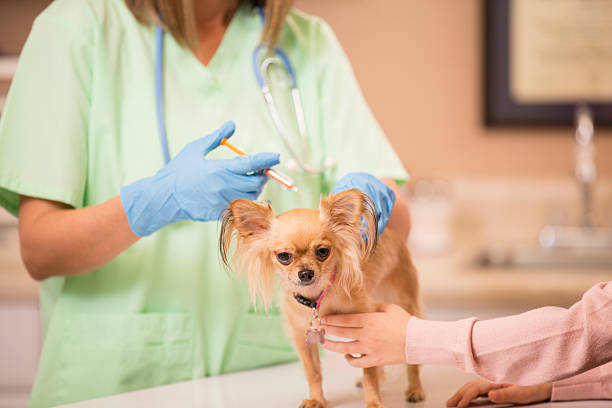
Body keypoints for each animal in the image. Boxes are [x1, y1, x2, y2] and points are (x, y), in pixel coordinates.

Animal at [220, 190, 426, 406]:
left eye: (322, 252)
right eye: (284, 256)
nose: (305, 273)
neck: (317, 299)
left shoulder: (367, 331)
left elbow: (370, 373)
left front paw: (374, 403)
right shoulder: (302, 337)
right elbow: (314, 372)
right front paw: (317, 400)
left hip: (404, 303)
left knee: (411, 360)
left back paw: (415, 389)